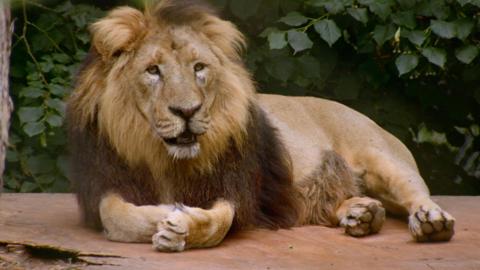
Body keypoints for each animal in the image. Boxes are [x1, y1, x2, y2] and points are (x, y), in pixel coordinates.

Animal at [67, 0, 454, 253]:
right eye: (153, 70)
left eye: (199, 67)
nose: (187, 111)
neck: (164, 157)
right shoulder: (104, 182)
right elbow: (118, 216)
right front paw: (167, 213)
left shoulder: (239, 188)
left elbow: (220, 222)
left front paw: (181, 224)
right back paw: (363, 213)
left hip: (381, 157)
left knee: (417, 193)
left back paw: (431, 221)